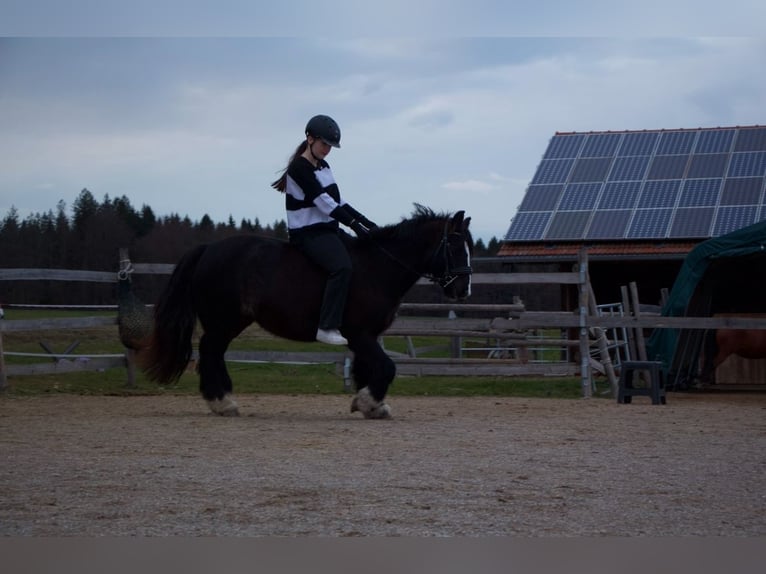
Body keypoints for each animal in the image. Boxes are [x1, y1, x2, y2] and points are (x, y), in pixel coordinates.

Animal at [139, 206, 474, 418]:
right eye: (456, 246)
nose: (463, 289)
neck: (378, 267)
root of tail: (208, 249)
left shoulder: (365, 338)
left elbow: (369, 368)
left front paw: (372, 406)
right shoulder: (359, 334)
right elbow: (387, 367)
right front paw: (368, 402)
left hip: (231, 322)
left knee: (213, 352)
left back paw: (223, 400)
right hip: (224, 321)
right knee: (210, 351)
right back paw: (222, 402)